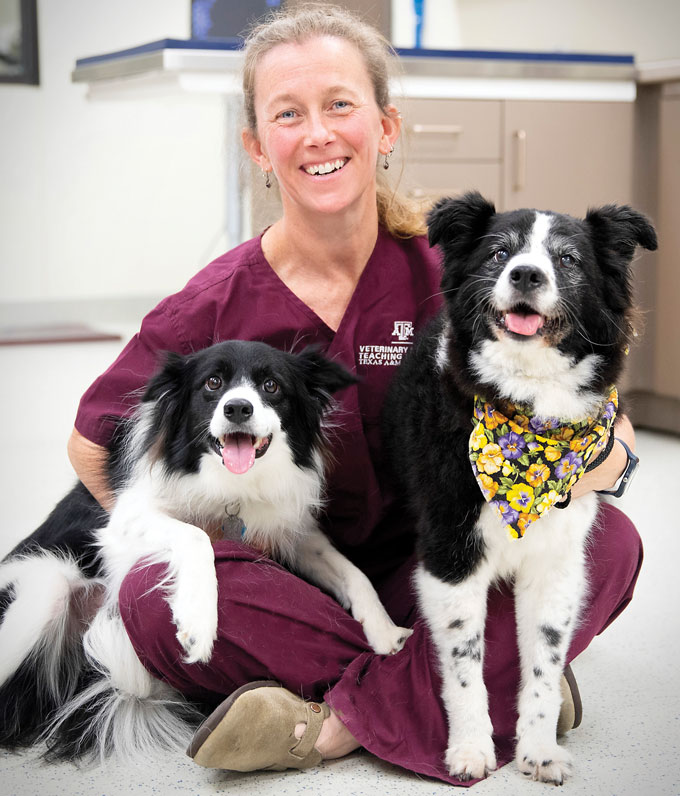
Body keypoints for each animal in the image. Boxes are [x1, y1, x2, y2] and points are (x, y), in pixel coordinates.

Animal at [1, 342, 410, 764]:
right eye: (213, 383)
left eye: (271, 385)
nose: (237, 408)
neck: (231, 482)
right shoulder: (126, 520)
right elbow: (197, 537)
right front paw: (198, 623)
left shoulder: (292, 532)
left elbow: (353, 572)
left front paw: (385, 631)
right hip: (45, 592)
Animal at [386, 191, 656, 784]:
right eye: (499, 253)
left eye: (568, 259)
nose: (527, 274)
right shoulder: (450, 554)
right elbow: (465, 663)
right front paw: (469, 749)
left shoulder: (557, 562)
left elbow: (543, 663)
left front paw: (538, 749)